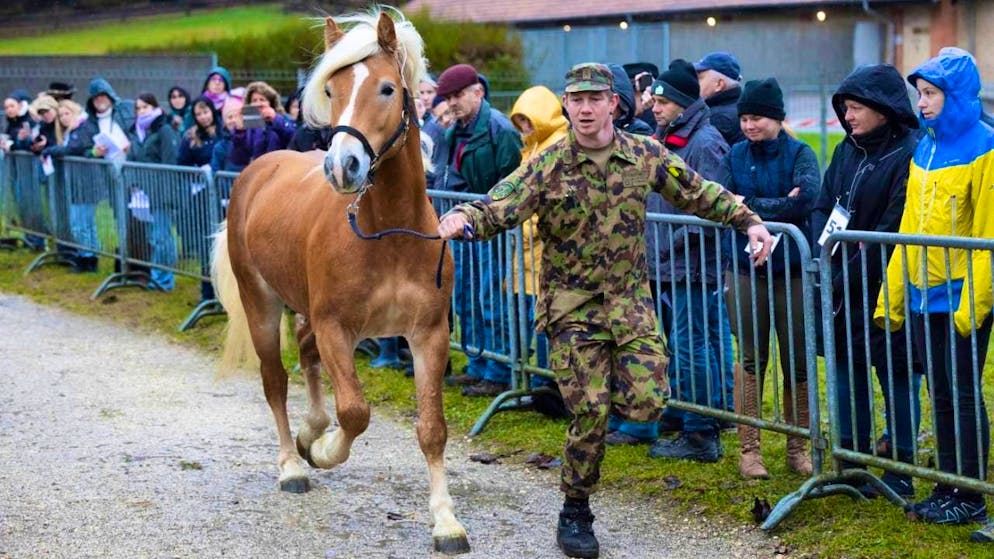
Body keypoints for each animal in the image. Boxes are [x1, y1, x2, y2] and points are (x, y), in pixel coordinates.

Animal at [210, 8, 468, 554]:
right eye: (332, 88)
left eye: (388, 88)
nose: (341, 165)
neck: (389, 233)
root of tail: (259, 168)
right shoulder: (337, 330)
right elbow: (354, 411)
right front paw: (326, 451)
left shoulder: (429, 334)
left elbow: (432, 428)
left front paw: (445, 520)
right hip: (262, 303)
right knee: (275, 380)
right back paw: (293, 463)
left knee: (305, 354)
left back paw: (309, 432)